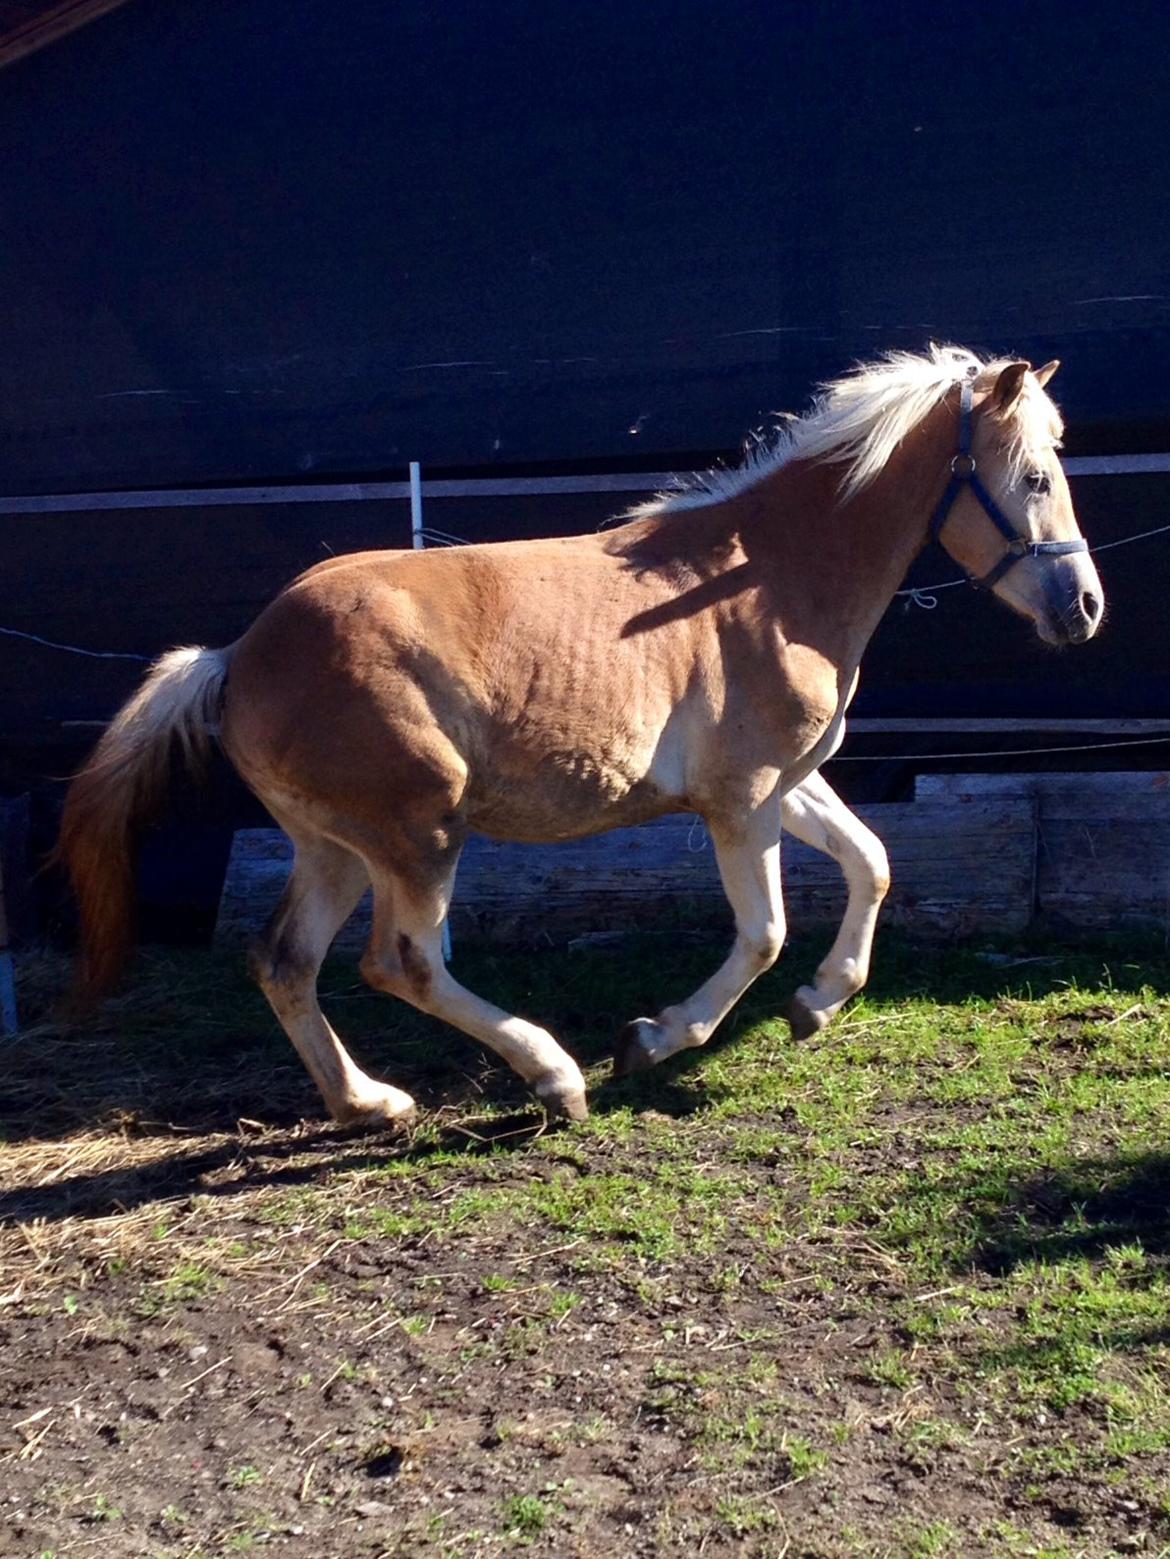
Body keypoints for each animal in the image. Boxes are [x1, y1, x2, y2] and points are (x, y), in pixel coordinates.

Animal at [59, 347, 1110, 1128]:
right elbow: (764, 931)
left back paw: (371, 1103)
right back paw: (553, 1077)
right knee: (401, 961)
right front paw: (653, 1039)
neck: (767, 579)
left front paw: (819, 1002)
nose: (1085, 606)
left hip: (334, 845)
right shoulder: (742, 800)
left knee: (287, 961)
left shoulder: (786, 784)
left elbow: (874, 864)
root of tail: (235, 655)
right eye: (1034, 475)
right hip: (417, 833)